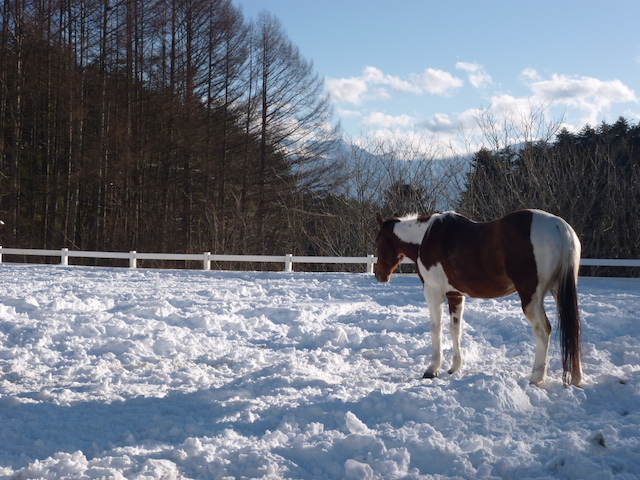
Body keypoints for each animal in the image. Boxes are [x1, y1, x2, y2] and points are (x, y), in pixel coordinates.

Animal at [374, 209, 583, 387]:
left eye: (378, 240)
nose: (379, 275)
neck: (425, 237)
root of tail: (559, 226)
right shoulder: (455, 296)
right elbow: (455, 330)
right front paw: (454, 367)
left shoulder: (433, 292)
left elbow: (436, 329)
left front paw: (432, 369)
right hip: (558, 290)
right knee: (574, 328)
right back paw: (576, 378)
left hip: (531, 298)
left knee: (543, 330)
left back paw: (536, 378)